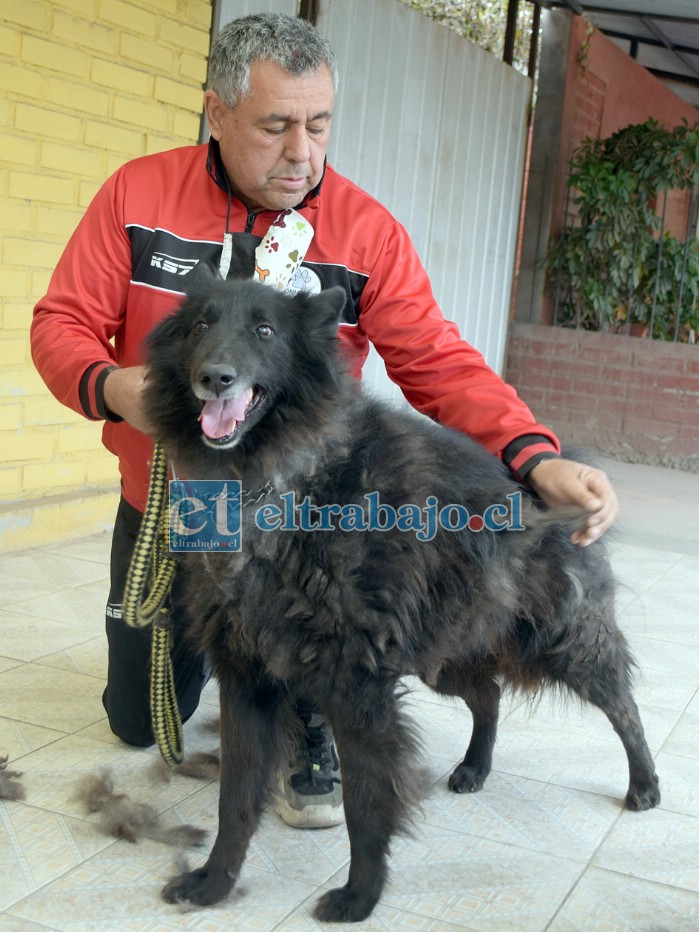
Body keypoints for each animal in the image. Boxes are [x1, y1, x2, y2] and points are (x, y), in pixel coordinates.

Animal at [145, 270, 660, 924]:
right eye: (200, 325)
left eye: (263, 330)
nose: (215, 377)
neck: (281, 479)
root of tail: (561, 469)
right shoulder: (247, 679)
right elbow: (234, 800)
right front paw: (215, 881)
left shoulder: (357, 685)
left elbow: (366, 806)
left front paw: (360, 897)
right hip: (449, 654)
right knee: (489, 696)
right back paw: (475, 767)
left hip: (564, 644)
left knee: (623, 706)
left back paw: (645, 784)